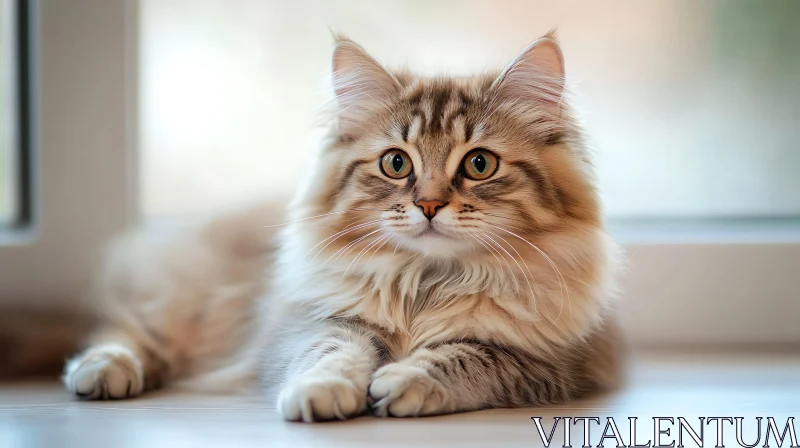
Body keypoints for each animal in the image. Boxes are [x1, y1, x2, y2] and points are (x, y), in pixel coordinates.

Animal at [64, 33, 624, 422]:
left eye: (479, 164)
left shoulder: (546, 362)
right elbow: (331, 354)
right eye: (396, 164)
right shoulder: (313, 323)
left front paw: (404, 381)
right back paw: (103, 371)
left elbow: (464, 357)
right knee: (126, 330)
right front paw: (322, 392)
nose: (428, 204)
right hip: (184, 302)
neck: (426, 282)